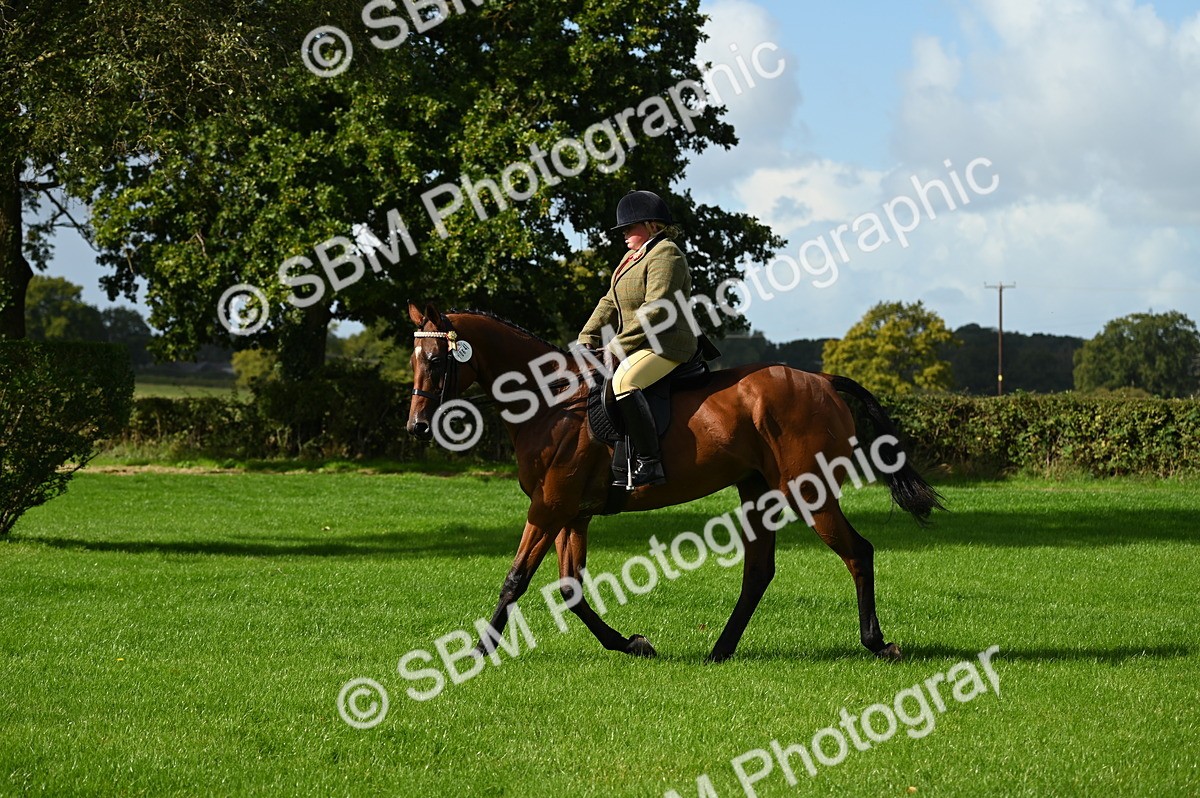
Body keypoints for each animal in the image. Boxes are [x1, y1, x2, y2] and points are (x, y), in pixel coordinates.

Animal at [405, 301, 943, 662]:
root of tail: (823, 380)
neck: (552, 402)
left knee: (857, 552)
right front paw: (632, 644)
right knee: (759, 571)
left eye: (437, 360)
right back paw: (720, 650)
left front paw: (477, 653)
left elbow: (516, 579)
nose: (416, 427)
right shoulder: (570, 512)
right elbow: (570, 588)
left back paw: (877, 643)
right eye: (415, 360)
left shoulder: (549, 507)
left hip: (808, 491)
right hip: (758, 491)